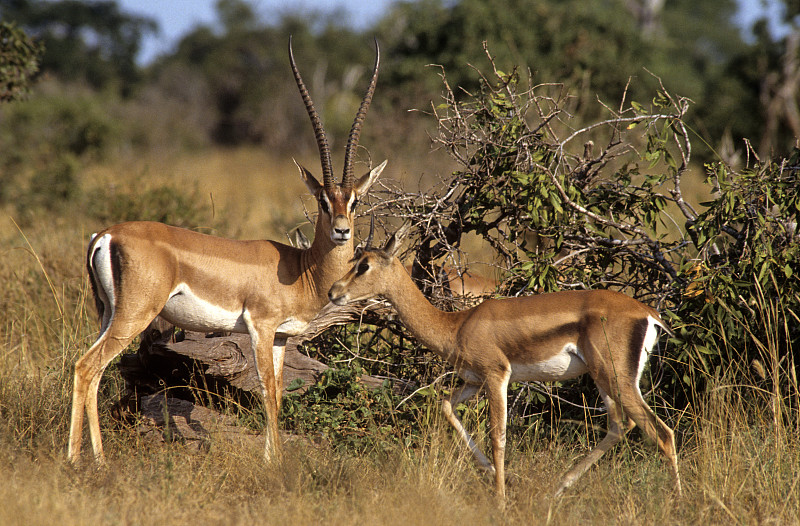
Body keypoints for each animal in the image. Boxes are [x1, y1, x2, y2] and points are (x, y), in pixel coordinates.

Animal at [65, 38, 384, 466]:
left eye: (354, 201)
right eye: (321, 200)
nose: (341, 231)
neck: (300, 269)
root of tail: (105, 235)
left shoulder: (280, 338)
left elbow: (277, 393)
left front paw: (273, 458)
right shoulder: (260, 327)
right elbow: (265, 391)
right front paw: (272, 463)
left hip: (107, 313)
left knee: (95, 370)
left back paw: (93, 457)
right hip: (134, 315)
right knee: (87, 367)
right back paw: (83, 460)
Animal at [328, 225, 684, 502]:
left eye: (364, 265)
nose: (333, 291)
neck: (457, 325)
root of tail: (648, 313)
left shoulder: (496, 375)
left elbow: (497, 435)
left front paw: (499, 498)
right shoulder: (473, 381)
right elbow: (447, 407)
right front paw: (492, 474)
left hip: (616, 379)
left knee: (661, 432)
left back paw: (676, 502)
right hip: (604, 380)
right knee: (621, 425)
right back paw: (556, 489)